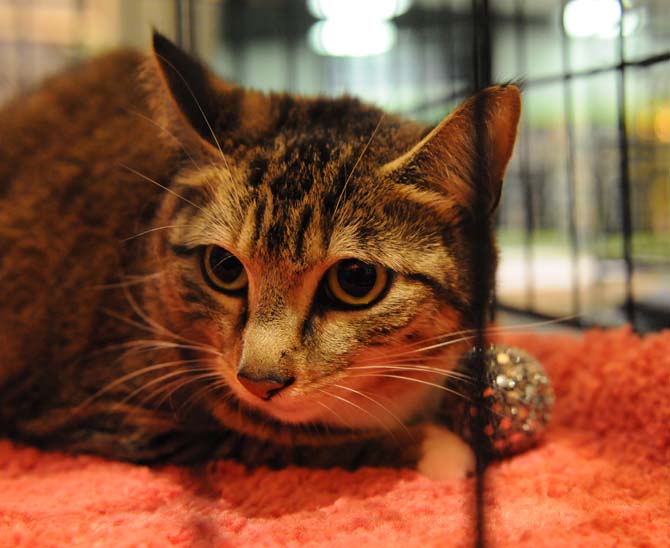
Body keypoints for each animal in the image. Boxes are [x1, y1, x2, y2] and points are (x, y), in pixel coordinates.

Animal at [0, 32, 524, 480]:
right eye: (224, 267)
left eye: (355, 279)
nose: (259, 380)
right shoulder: (96, 410)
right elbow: (261, 439)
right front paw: (433, 448)